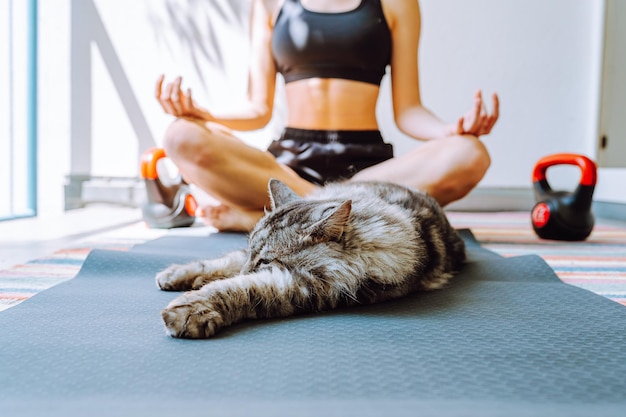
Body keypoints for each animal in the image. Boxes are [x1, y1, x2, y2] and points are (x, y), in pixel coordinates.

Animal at [156, 179, 464, 338]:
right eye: (255, 254)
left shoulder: (307, 287)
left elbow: (239, 288)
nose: (248, 269)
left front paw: (192, 310)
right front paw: (176, 275)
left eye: (265, 262)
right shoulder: (247, 256)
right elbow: (225, 264)